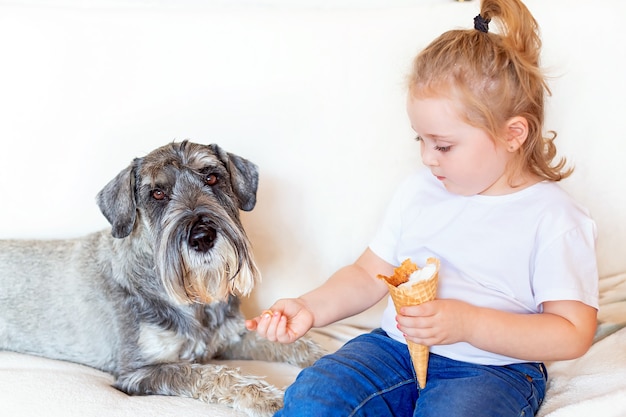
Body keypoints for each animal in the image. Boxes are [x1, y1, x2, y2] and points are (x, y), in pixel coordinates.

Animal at [0, 141, 322, 416]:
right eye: (157, 193)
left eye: (212, 177)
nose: (202, 237)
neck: (195, 303)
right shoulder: (141, 371)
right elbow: (211, 374)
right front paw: (267, 397)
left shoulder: (230, 338)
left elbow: (293, 344)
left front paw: (324, 358)